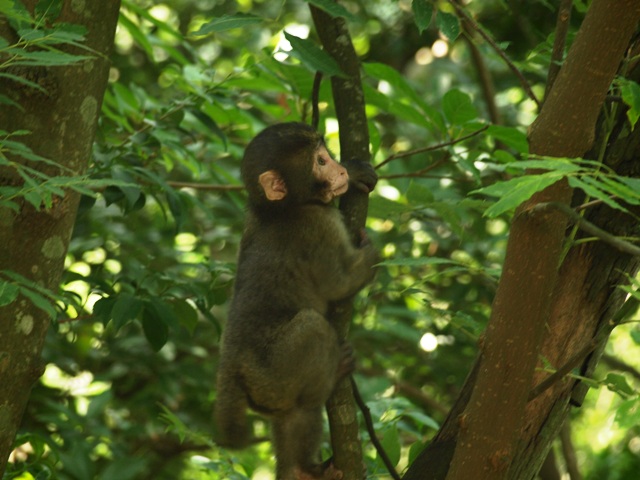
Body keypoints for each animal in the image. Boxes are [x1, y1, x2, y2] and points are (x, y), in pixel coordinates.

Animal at [216, 122, 376, 480]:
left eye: (327, 156)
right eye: (320, 162)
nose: (339, 169)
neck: (279, 209)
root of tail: (230, 367)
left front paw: (356, 172)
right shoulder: (318, 225)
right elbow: (339, 283)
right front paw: (372, 255)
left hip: (269, 390)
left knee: (291, 415)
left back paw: (299, 469)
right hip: (275, 370)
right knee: (313, 329)